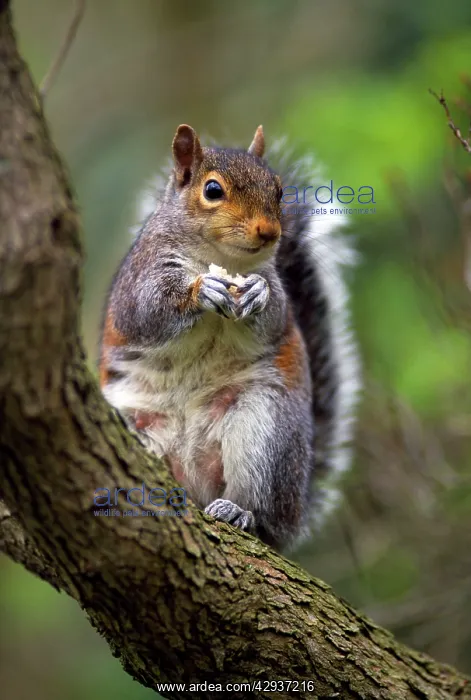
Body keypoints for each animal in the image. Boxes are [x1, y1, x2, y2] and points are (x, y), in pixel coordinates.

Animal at [99, 124, 360, 551]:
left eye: (279, 191)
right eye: (212, 190)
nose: (269, 231)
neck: (222, 259)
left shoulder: (275, 290)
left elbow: (276, 315)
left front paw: (258, 293)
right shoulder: (140, 278)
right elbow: (145, 311)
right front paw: (199, 291)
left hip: (265, 429)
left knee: (264, 514)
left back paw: (241, 513)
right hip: (140, 422)